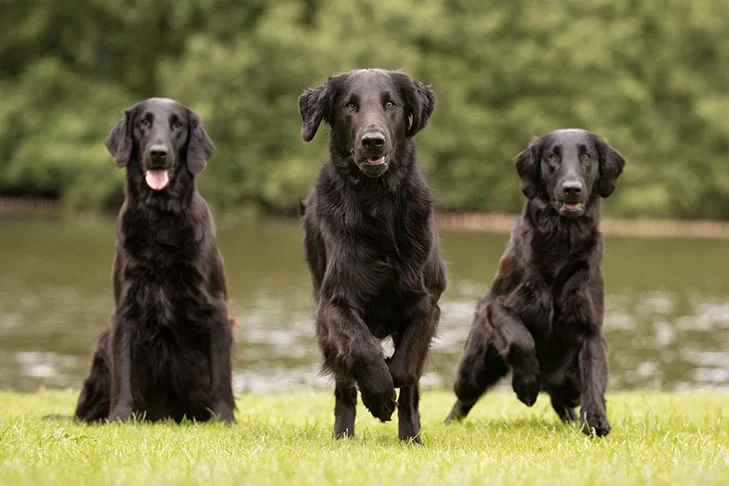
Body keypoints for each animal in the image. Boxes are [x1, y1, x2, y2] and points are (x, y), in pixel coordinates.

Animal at [73, 97, 235, 424]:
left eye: (177, 124)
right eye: (143, 123)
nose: (158, 153)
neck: (161, 218)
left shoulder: (216, 308)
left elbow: (221, 374)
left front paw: (225, 419)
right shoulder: (124, 311)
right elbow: (123, 373)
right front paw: (119, 418)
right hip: (103, 343)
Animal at [298, 69, 446, 444]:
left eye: (390, 104)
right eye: (349, 106)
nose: (373, 141)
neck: (377, 204)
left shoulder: (426, 300)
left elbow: (405, 366)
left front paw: (391, 384)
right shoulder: (334, 303)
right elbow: (362, 348)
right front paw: (378, 394)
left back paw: (411, 437)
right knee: (344, 385)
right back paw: (343, 435)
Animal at [444, 129, 624, 436]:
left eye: (587, 156)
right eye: (552, 156)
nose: (572, 188)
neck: (562, 240)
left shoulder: (590, 327)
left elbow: (594, 376)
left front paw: (596, 420)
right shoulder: (496, 305)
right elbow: (520, 339)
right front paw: (525, 385)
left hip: (567, 384)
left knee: (564, 400)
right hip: (472, 370)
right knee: (463, 397)